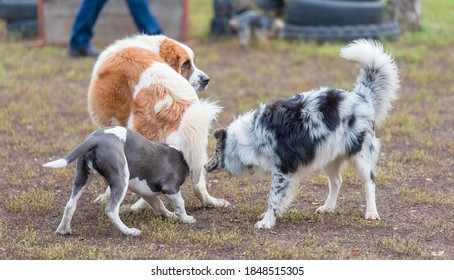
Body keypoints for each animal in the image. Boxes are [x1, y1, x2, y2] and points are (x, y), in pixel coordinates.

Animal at [43, 127, 196, 236]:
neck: (183, 157)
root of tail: (94, 139)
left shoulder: (145, 192)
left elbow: (159, 204)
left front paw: (170, 215)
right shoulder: (171, 188)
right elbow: (180, 203)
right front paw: (186, 218)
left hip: (83, 176)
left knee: (70, 204)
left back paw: (63, 230)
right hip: (121, 179)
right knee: (111, 210)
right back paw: (129, 231)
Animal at [88, 35, 229, 209]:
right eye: (186, 64)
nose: (206, 80)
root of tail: (172, 103)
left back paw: (136, 208)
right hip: (196, 142)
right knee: (198, 185)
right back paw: (212, 202)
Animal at [204, 40, 400, 230]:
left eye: (215, 151)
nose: (204, 166)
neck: (247, 137)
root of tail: (362, 97)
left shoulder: (282, 170)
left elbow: (273, 198)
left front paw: (267, 222)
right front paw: (272, 216)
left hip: (361, 157)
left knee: (369, 184)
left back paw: (371, 213)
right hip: (328, 156)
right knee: (337, 181)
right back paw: (328, 207)